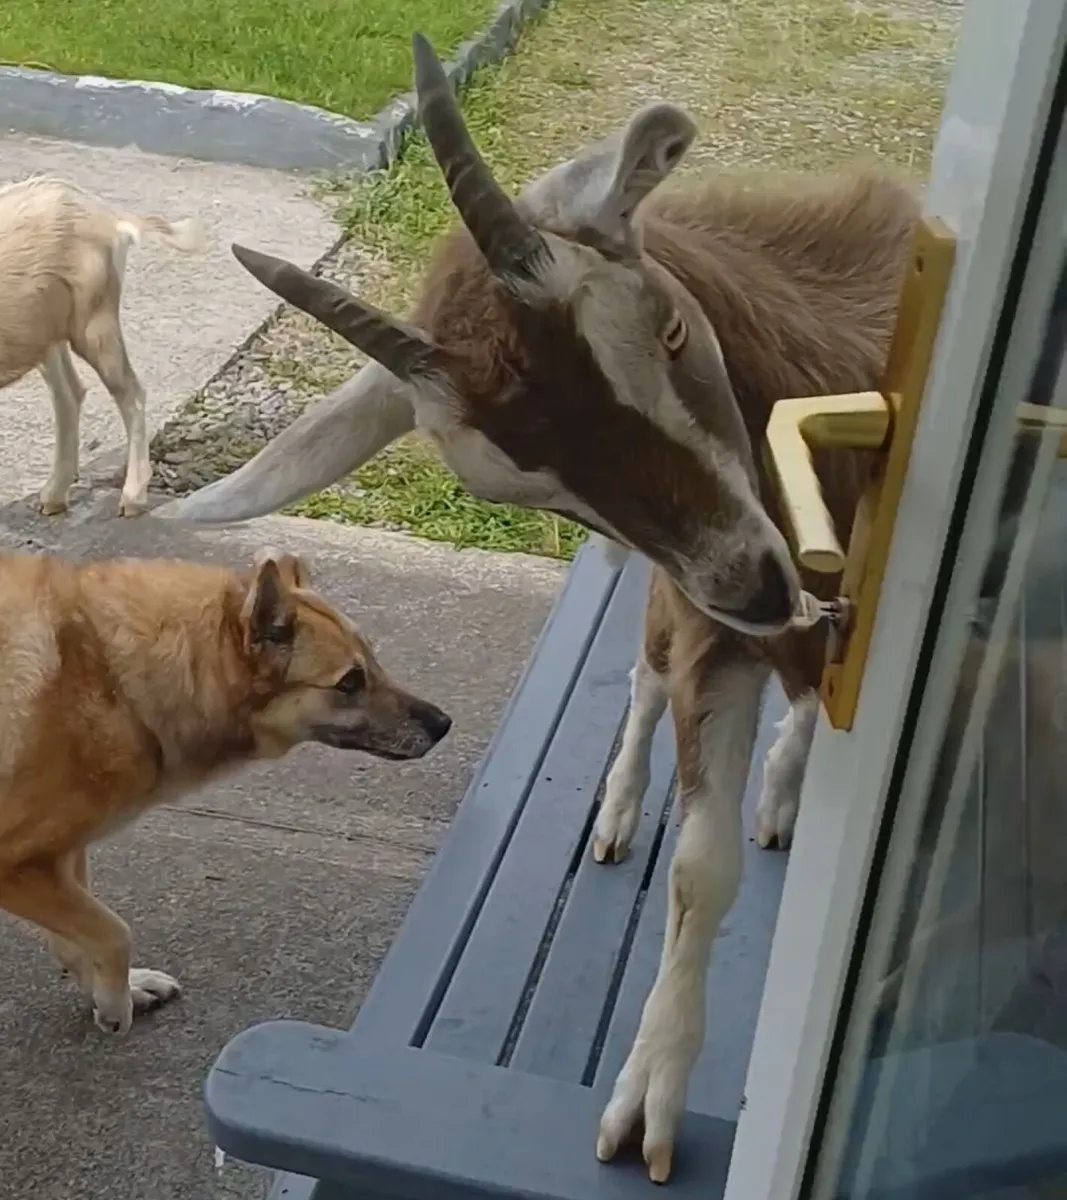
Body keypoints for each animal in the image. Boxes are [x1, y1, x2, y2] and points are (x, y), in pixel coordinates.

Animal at [0, 175, 206, 517]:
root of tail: (111, 218)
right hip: (49, 328)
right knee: (69, 393)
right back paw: (54, 496)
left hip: (95, 320)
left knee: (130, 392)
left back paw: (132, 499)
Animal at [155, 34, 920, 1183]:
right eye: (531, 488)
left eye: (671, 328)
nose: (757, 584)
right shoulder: (708, 630)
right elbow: (698, 869)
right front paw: (645, 1099)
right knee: (645, 681)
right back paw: (620, 811)